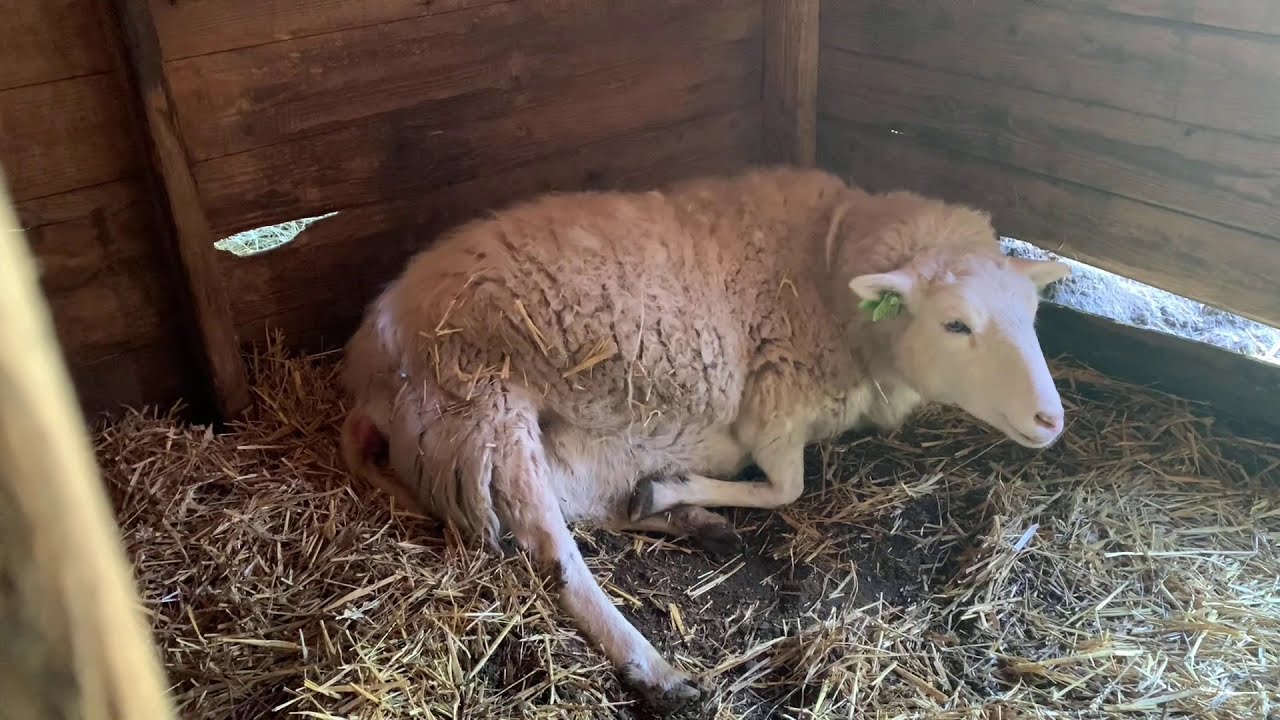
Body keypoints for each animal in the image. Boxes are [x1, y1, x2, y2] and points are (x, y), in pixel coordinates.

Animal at [338, 166, 1070, 711]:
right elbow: (787, 488)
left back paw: (685, 519)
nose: (1051, 420)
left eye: (1033, 315)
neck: (829, 269)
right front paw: (680, 491)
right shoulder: (775, 408)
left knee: (586, 511)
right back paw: (652, 663)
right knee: (552, 552)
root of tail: (364, 369)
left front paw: (669, 495)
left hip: (549, 444)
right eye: (955, 324)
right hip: (486, 416)